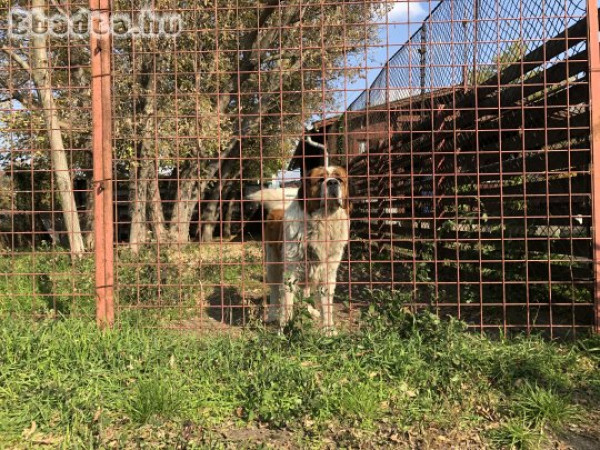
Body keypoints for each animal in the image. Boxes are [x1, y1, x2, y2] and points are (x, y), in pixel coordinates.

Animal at [248, 167, 352, 332]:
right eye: (321, 180)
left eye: (339, 179)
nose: (332, 183)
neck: (323, 222)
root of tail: (279, 208)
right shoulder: (290, 275)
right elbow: (286, 306)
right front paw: (285, 330)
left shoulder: (327, 275)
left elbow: (327, 307)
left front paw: (328, 331)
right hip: (273, 265)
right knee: (274, 291)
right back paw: (272, 315)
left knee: (306, 292)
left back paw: (309, 310)